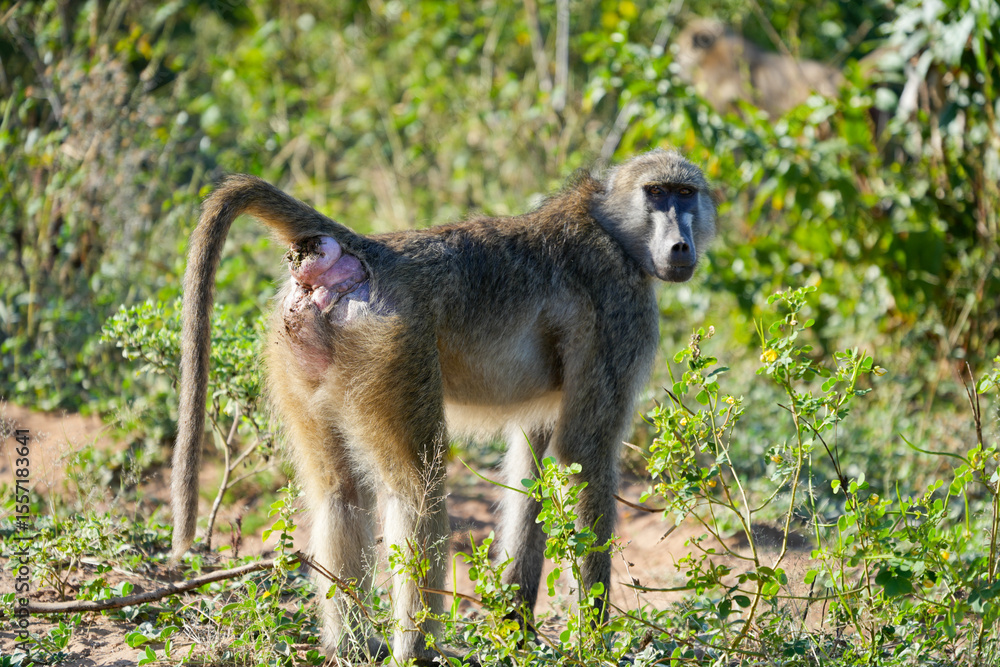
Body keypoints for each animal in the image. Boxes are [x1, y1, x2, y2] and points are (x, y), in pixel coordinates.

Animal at [169, 149, 717, 664]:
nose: (680, 246)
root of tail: (372, 250)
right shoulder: (621, 309)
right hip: (392, 346)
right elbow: (584, 453)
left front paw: (517, 627)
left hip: (299, 350)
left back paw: (352, 646)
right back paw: (418, 650)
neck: (610, 228)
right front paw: (596, 638)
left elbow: (532, 472)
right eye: (656, 192)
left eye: (685, 193)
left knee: (340, 493)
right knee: (419, 490)